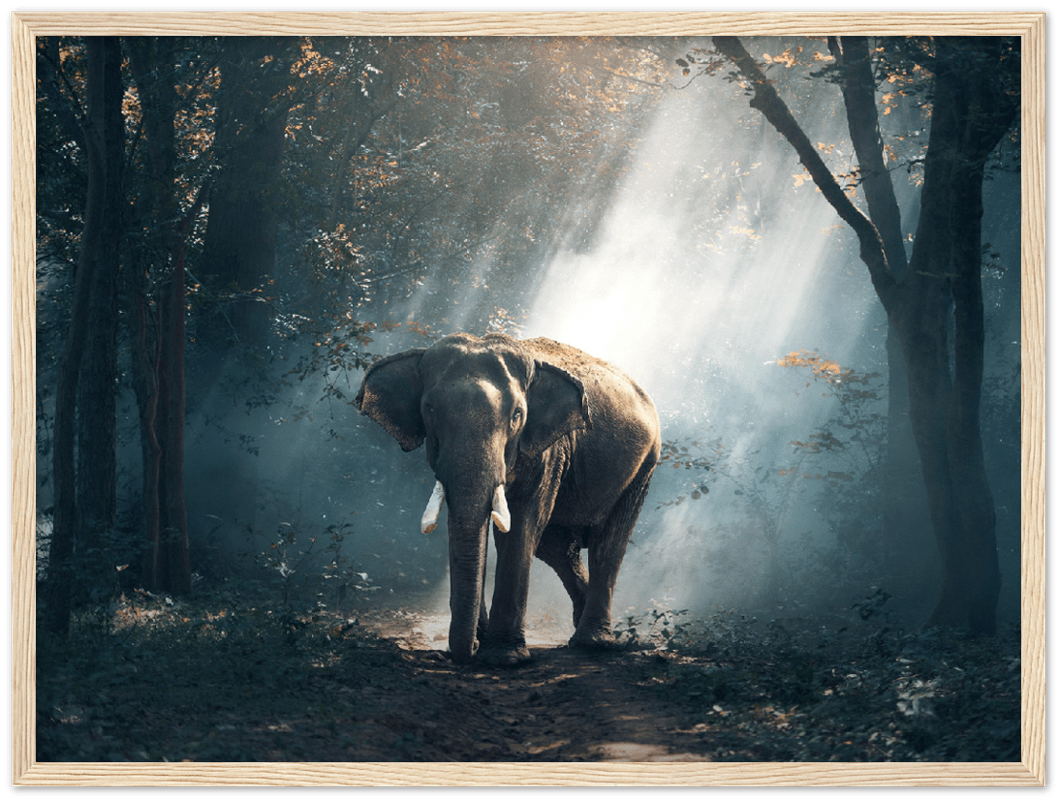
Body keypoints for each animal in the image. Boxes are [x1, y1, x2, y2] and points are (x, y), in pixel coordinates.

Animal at [356, 332, 660, 666]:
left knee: (608, 542)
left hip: (644, 466)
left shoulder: (548, 449)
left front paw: (504, 658)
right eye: (430, 410)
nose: (467, 651)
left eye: (517, 415)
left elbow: (521, 525)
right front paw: (483, 643)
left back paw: (593, 643)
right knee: (557, 547)